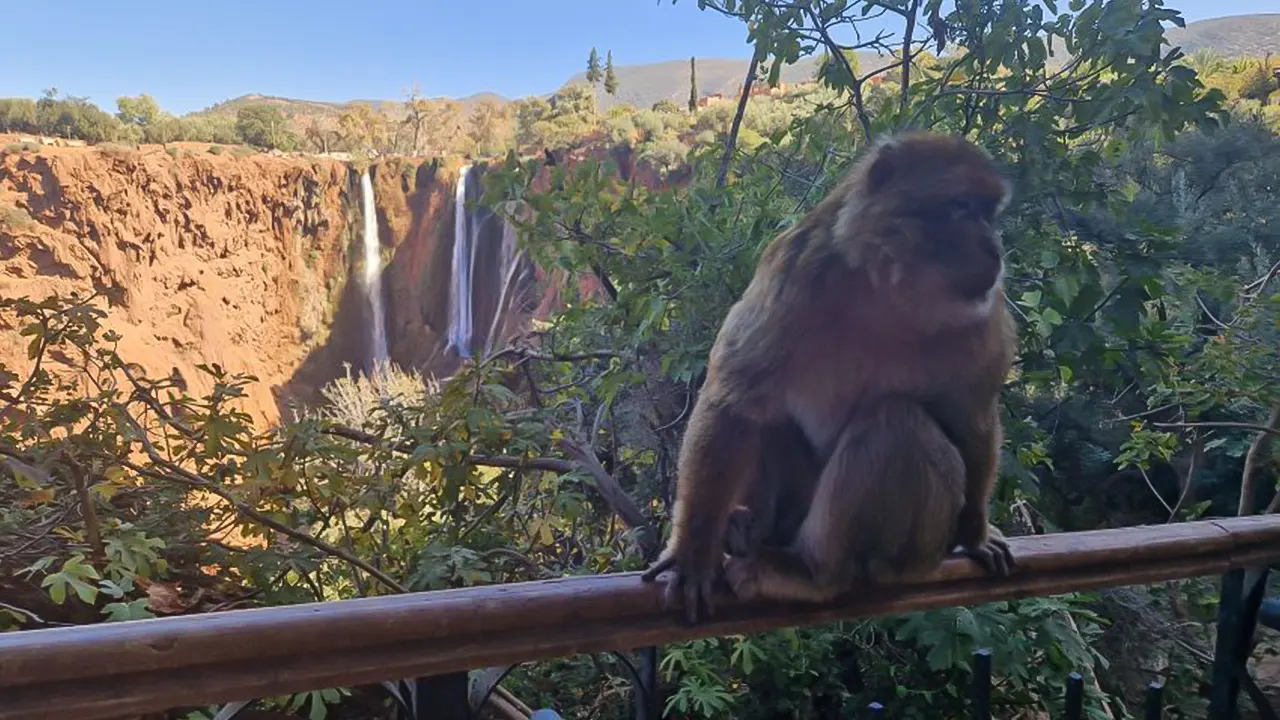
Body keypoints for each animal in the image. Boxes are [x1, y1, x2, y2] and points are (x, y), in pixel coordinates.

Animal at [645, 130, 1013, 622]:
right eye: (961, 207)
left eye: (988, 214)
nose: (995, 250)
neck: (890, 290)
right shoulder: (794, 271)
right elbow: (735, 402)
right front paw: (692, 553)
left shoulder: (984, 316)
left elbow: (971, 417)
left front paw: (977, 536)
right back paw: (751, 531)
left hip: (916, 553)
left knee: (895, 424)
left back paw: (816, 572)